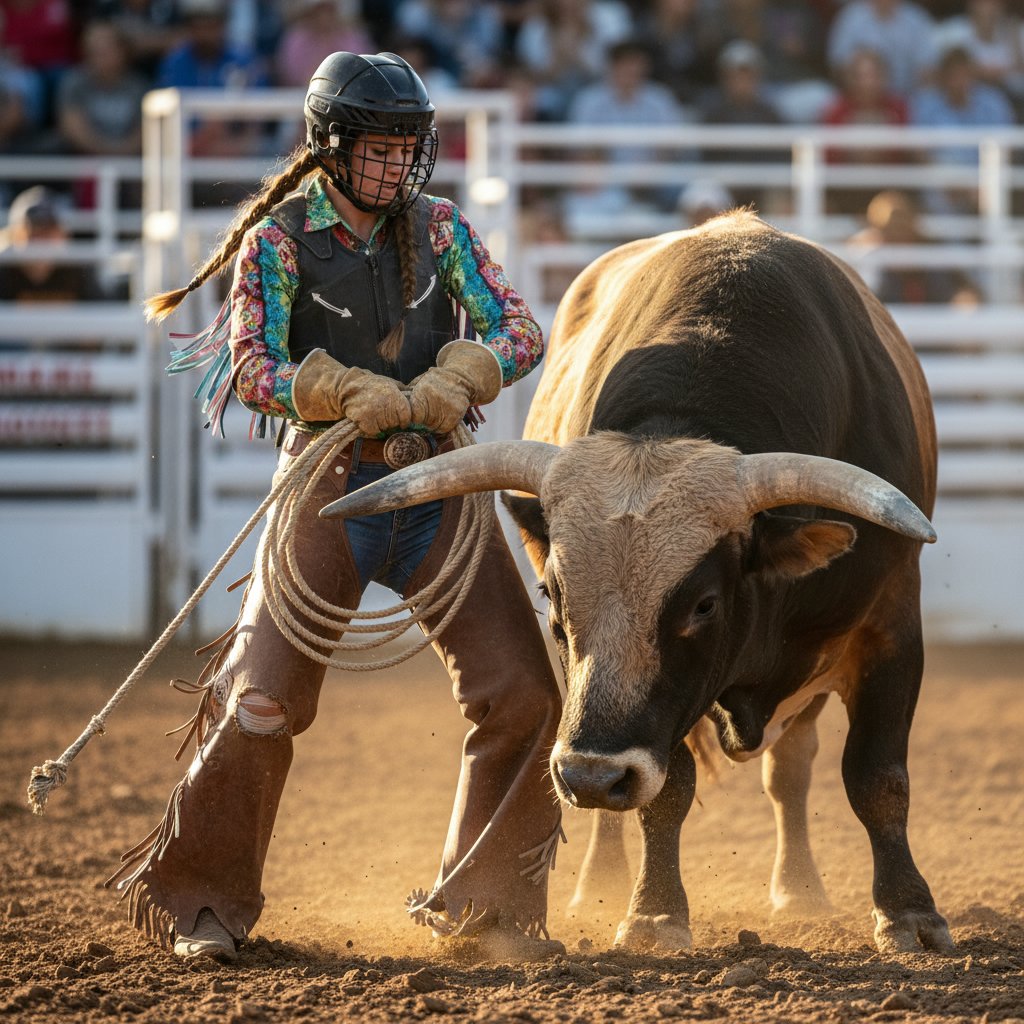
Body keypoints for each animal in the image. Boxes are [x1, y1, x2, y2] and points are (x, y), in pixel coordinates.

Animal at [320, 210, 953, 955]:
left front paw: (909, 914)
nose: (591, 775)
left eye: (704, 603)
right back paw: (602, 880)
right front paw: (654, 913)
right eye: (553, 595)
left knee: (790, 770)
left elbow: (877, 777)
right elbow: (668, 790)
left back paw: (799, 891)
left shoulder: (890, 629)